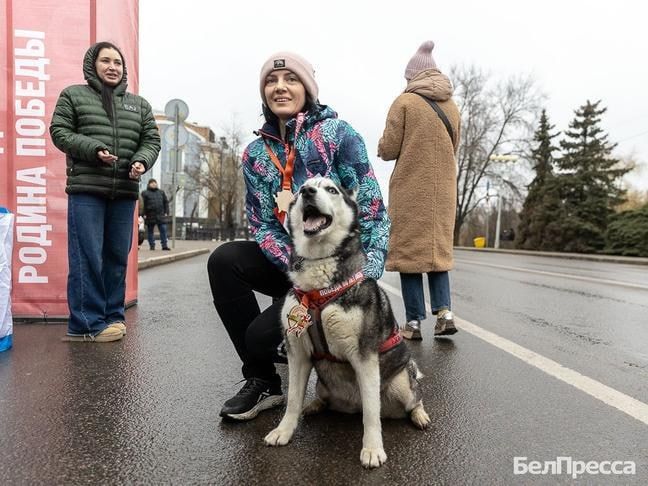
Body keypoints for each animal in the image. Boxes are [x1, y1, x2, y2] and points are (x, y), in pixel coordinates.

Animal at [264, 177, 430, 468]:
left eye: (331, 189)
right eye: (301, 189)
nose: (308, 192)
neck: (318, 287)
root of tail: (352, 406)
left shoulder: (365, 357)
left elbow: (372, 414)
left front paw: (373, 449)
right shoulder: (298, 354)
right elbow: (293, 399)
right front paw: (284, 430)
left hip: (401, 386)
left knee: (413, 398)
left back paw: (419, 415)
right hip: (322, 384)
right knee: (323, 398)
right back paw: (315, 405)